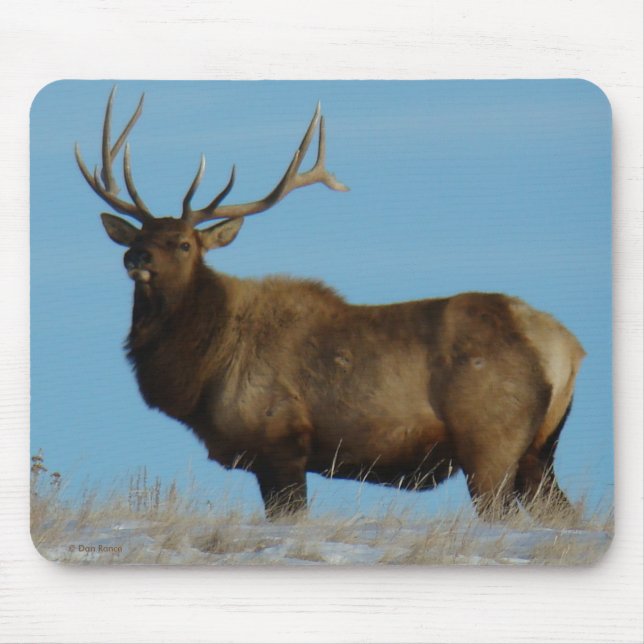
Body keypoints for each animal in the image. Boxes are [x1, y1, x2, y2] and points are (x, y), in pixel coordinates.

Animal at [76, 88, 585, 520]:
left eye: (183, 244)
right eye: (139, 236)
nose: (136, 257)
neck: (202, 373)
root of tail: (569, 349)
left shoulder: (280, 441)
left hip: (491, 440)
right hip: (538, 449)